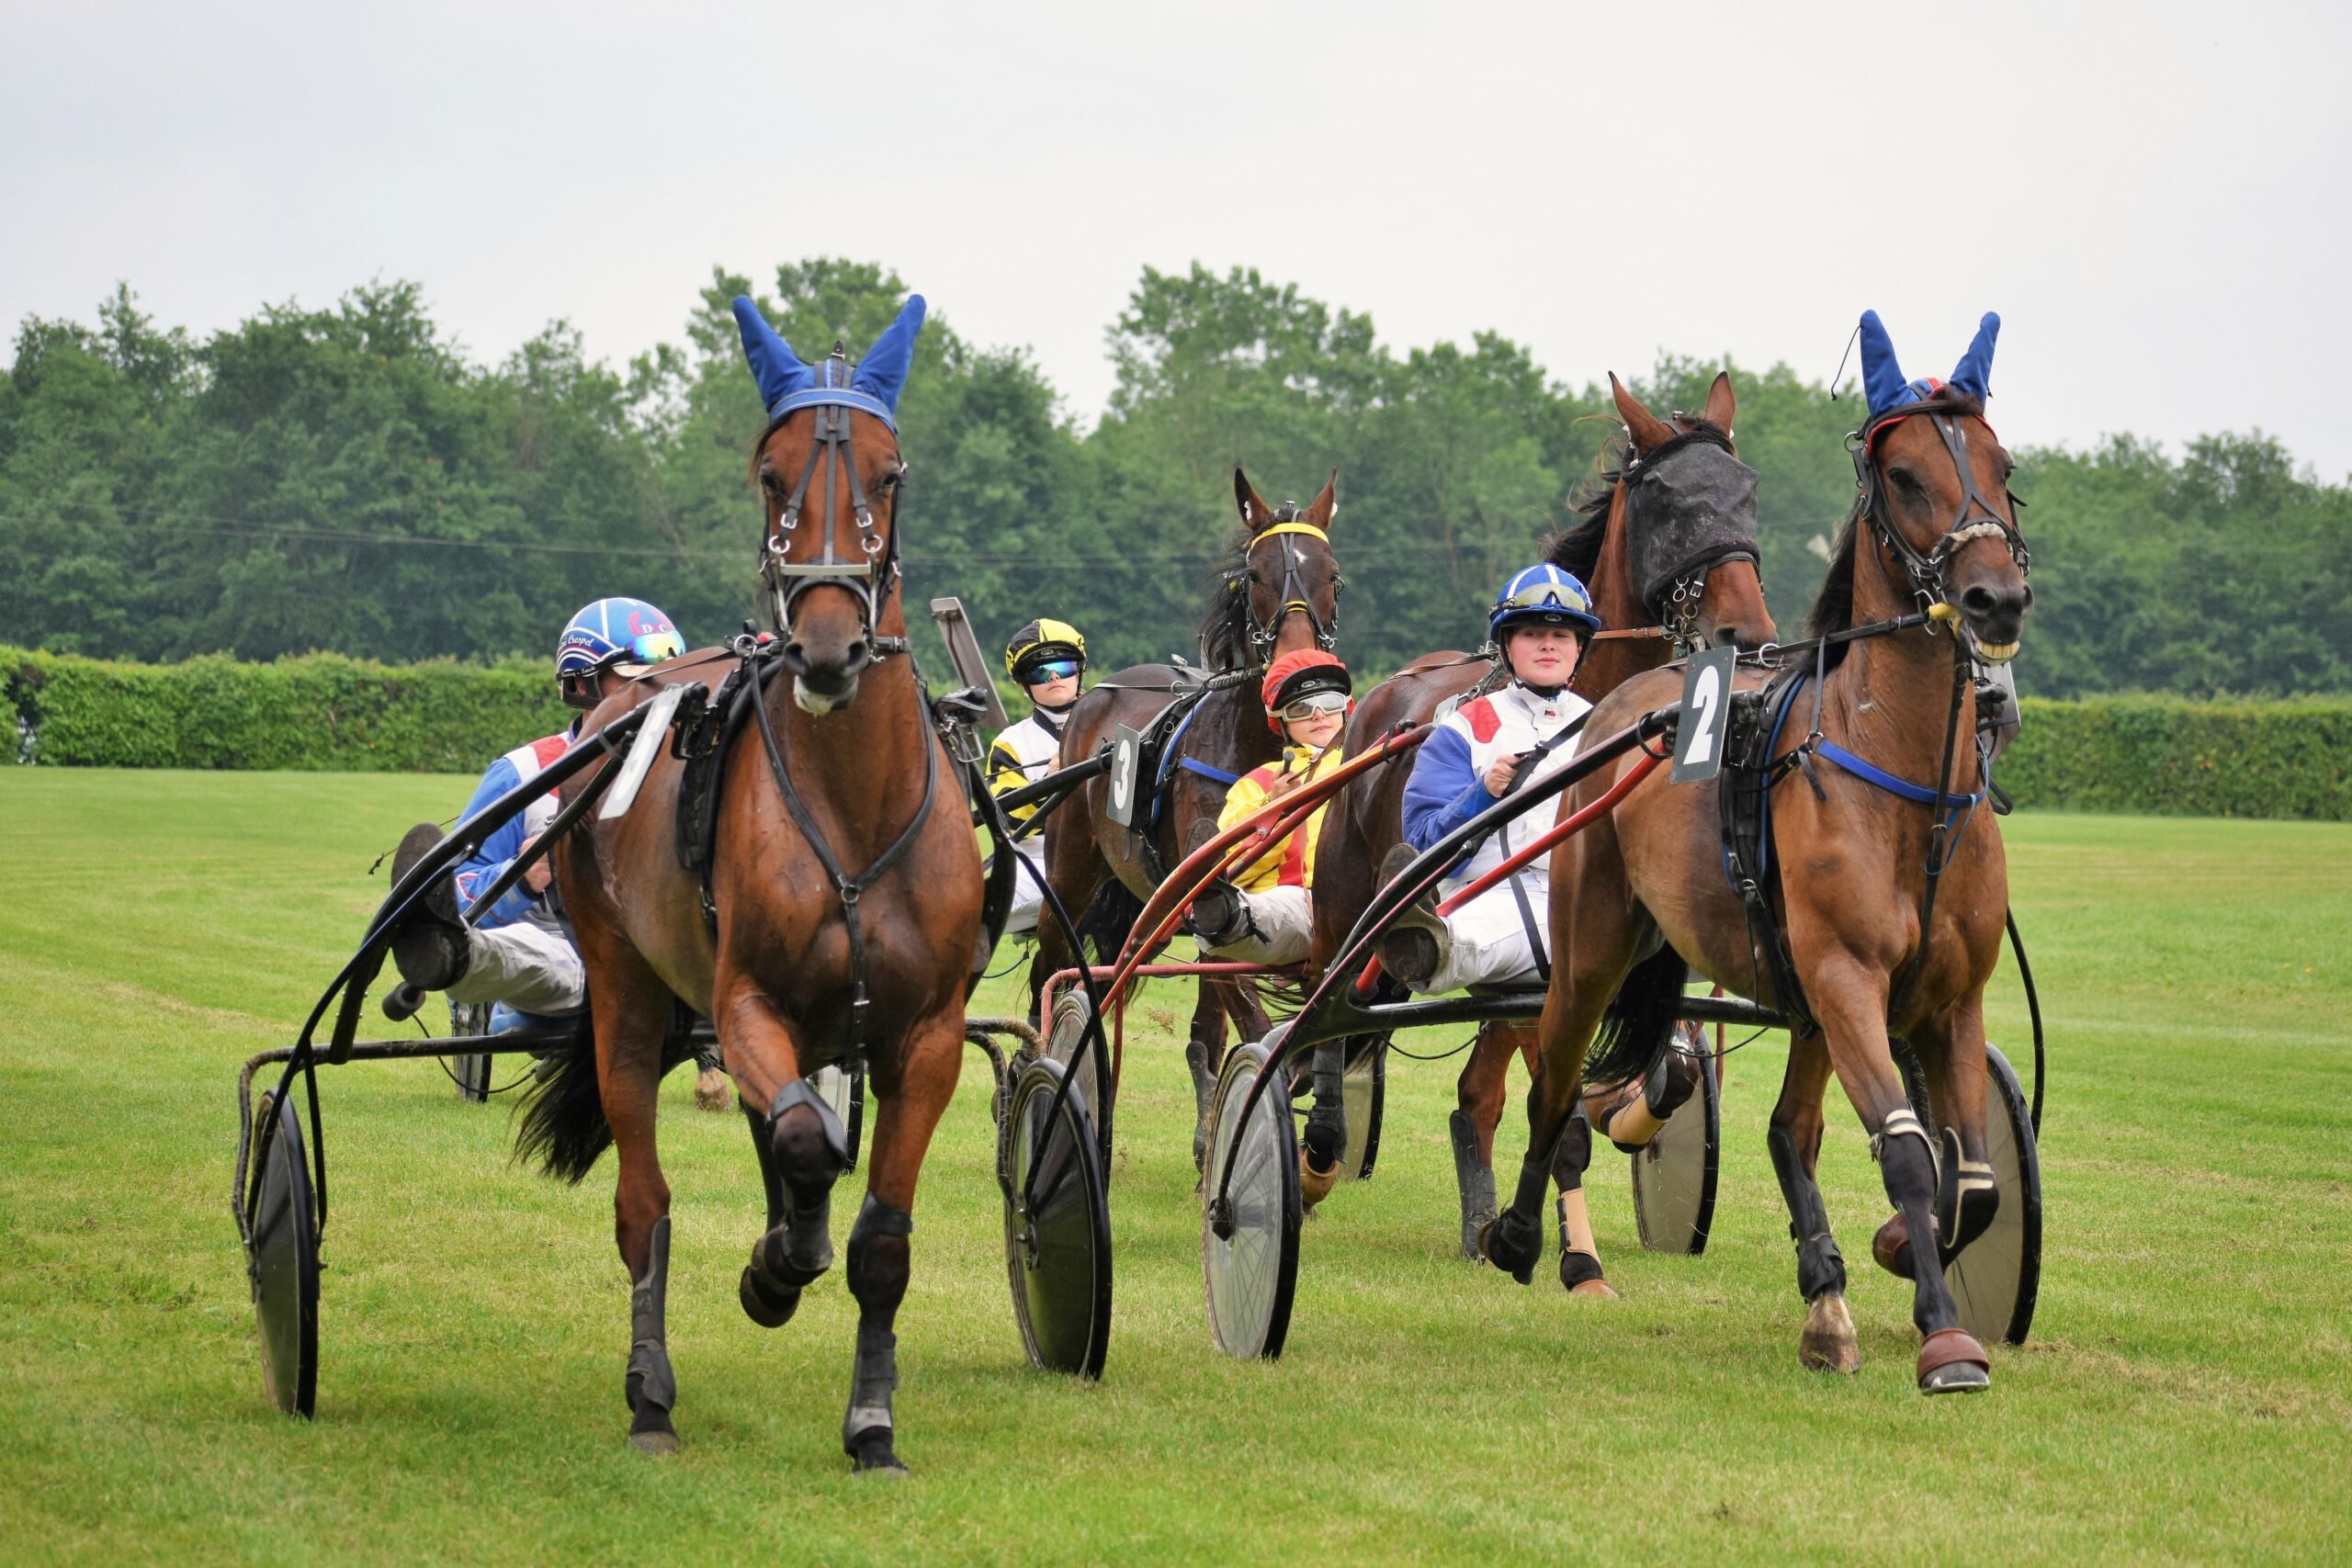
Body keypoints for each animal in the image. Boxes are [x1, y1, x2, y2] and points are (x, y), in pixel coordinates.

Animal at [524, 293, 983, 1476]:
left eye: (890, 473)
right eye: (769, 477)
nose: (825, 647)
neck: (851, 804)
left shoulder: (927, 1035)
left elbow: (876, 1235)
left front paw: (872, 1425)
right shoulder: (744, 1002)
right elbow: (804, 1144)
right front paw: (773, 1271)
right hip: (627, 990)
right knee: (645, 1200)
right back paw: (651, 1396)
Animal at [1035, 465, 1345, 1142]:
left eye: (1331, 573)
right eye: (1253, 575)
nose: (1299, 668)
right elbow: (1253, 1024)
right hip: (1071, 869)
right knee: (1052, 962)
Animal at [1307, 373, 1778, 1279]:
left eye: (1746, 491)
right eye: (1667, 499)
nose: (1751, 636)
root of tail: (1382, 702)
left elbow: (1650, 1074)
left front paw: (1625, 1132)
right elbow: (1554, 1109)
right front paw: (1568, 1253)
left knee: (1476, 1092)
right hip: (1343, 902)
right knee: (1324, 1014)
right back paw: (1313, 1152)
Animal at [1496, 312, 2031, 1392]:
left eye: (2003, 468)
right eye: (1905, 475)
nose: (1995, 598)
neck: (1904, 784)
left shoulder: (1946, 1000)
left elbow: (1974, 1180)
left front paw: (1896, 1252)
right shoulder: (1846, 976)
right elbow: (1907, 1153)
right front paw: (1946, 1337)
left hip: (1803, 998)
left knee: (1790, 1129)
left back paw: (1824, 1301)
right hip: (1591, 952)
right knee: (1553, 1084)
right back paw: (1527, 1237)